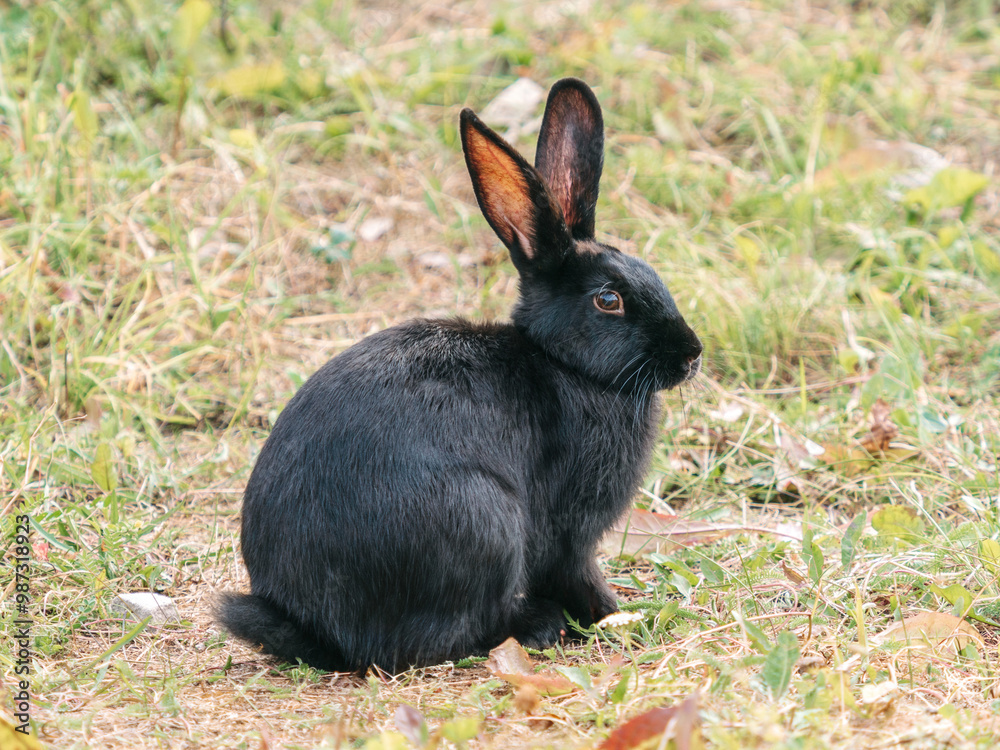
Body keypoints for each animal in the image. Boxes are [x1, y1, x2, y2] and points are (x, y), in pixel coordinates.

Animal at [216, 78, 703, 673]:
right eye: (608, 300)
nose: (691, 355)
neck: (563, 364)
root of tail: (323, 629)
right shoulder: (569, 530)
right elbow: (575, 572)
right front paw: (615, 615)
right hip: (484, 521)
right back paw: (537, 626)